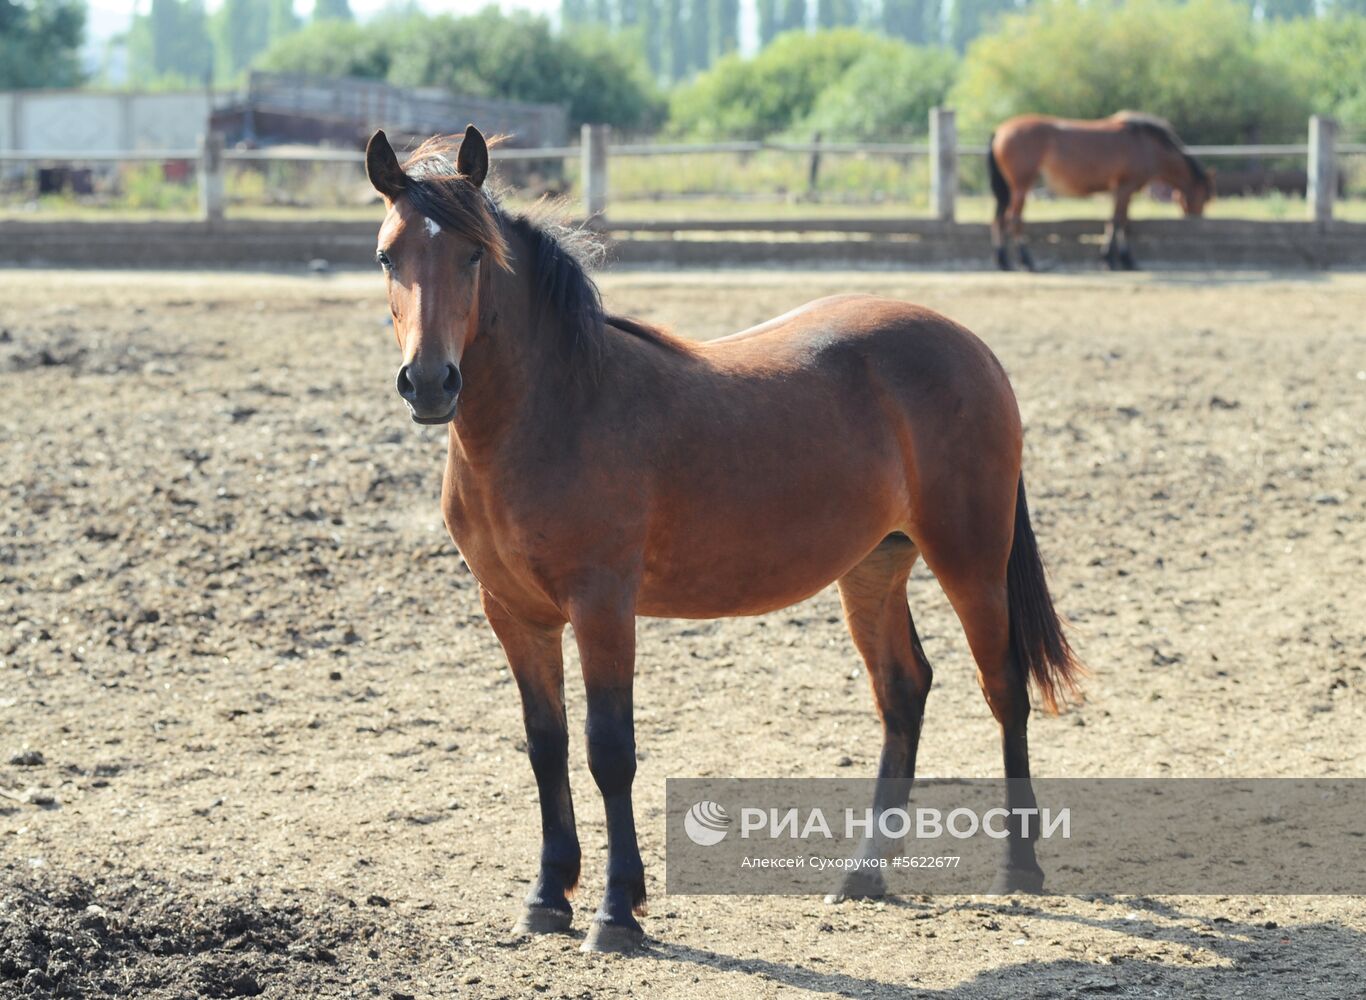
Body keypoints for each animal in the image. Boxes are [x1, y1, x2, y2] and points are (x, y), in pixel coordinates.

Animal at [366, 125, 1087, 950]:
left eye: (473, 255)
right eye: (387, 255)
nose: (430, 383)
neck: (557, 409)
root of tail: (970, 345)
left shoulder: (602, 607)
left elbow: (609, 750)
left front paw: (616, 911)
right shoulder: (514, 613)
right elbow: (546, 745)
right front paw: (548, 897)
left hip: (971, 558)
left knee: (1004, 688)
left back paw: (1018, 868)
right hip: (875, 566)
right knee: (904, 692)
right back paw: (864, 874)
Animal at [983, 112, 1218, 271]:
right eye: (1205, 197)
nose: (1197, 219)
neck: (1146, 145)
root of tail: (1000, 130)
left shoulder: (1122, 191)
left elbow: (1122, 222)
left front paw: (1121, 259)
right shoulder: (1125, 188)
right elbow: (1118, 222)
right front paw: (1113, 260)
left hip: (1010, 190)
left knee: (999, 220)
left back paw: (1003, 261)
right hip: (1021, 187)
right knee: (1014, 220)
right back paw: (1026, 261)